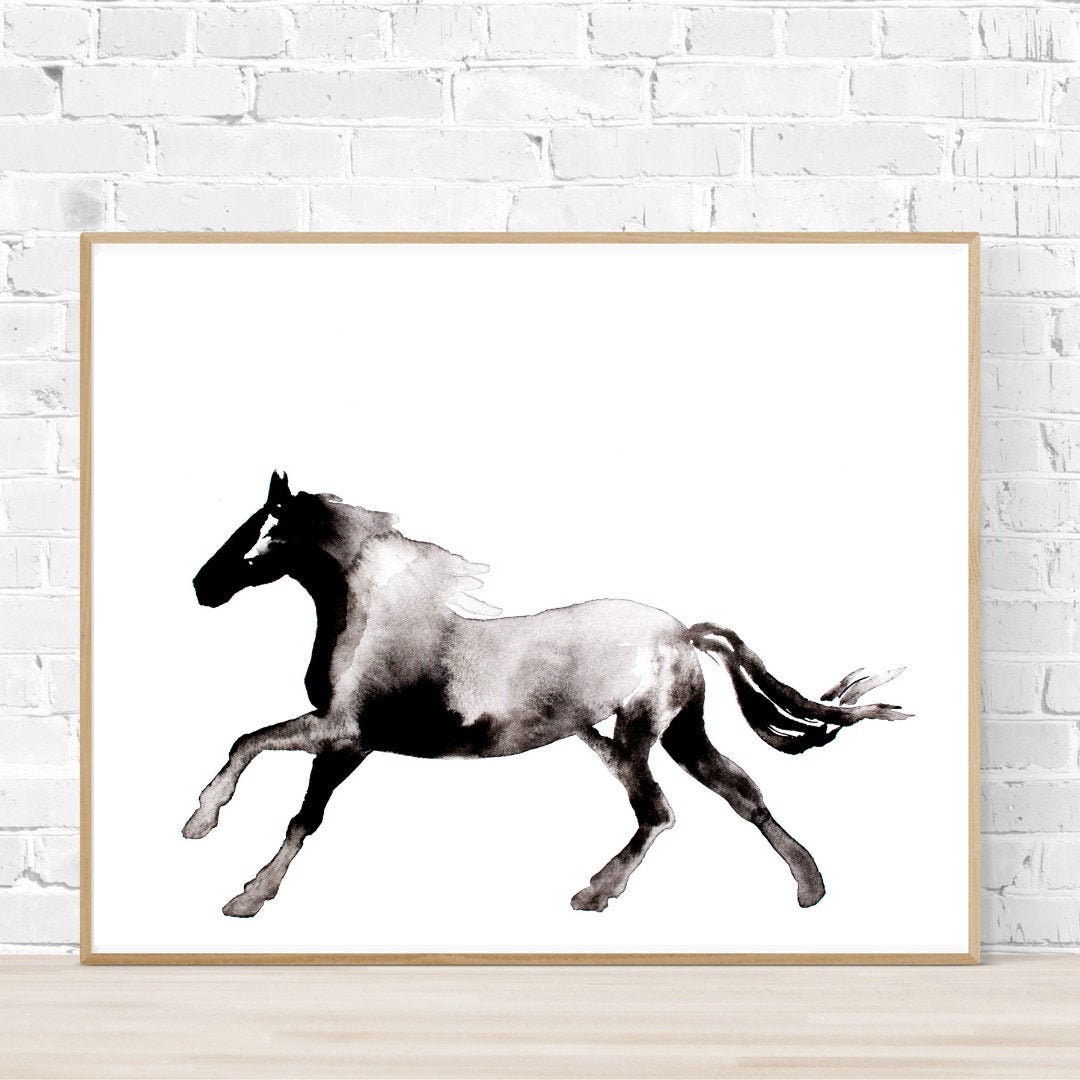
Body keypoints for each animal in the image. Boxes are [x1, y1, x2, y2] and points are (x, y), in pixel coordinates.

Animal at [185, 472, 909, 919]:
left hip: (640, 735)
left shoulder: (345, 736)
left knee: (659, 813)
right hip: (677, 733)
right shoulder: (339, 735)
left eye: (268, 532)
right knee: (742, 794)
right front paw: (207, 834)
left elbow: (284, 793)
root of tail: (680, 631)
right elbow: (256, 754)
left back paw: (594, 894)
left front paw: (239, 886)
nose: (202, 586)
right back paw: (810, 888)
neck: (375, 625)